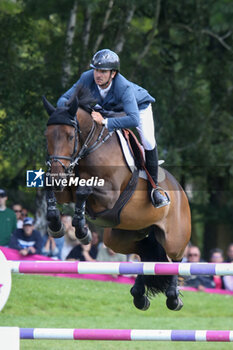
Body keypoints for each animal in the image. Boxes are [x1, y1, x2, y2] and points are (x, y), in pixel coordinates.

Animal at [43, 87, 191, 312]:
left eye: (70, 137)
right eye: (47, 136)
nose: (57, 175)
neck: (90, 148)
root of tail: (182, 192)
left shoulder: (109, 196)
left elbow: (84, 191)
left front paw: (82, 230)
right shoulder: (65, 187)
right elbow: (50, 187)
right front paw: (55, 225)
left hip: (174, 239)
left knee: (174, 259)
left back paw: (173, 298)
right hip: (120, 237)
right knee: (146, 251)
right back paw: (139, 295)